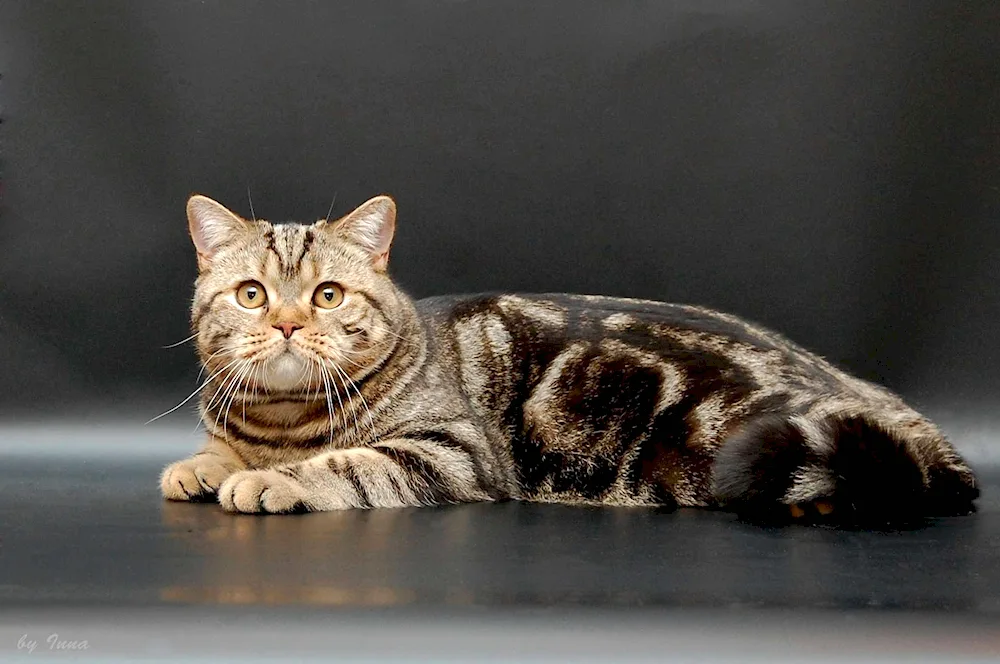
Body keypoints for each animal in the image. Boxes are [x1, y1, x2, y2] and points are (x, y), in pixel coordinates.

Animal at [160, 195, 980, 528]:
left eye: (327, 295)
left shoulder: (453, 451)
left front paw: (271, 480)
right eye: (253, 294)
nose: (289, 322)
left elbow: (344, 465)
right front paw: (202, 466)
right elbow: (216, 449)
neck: (281, 421)